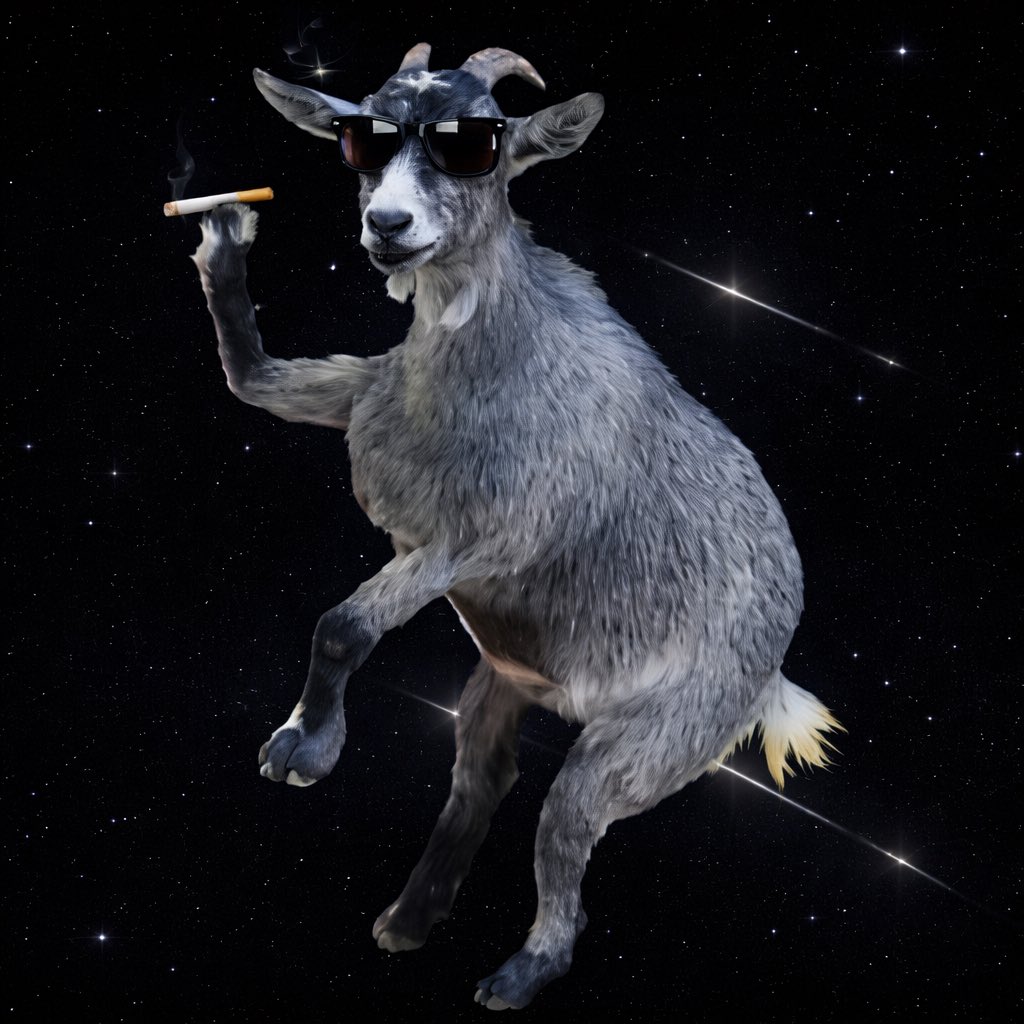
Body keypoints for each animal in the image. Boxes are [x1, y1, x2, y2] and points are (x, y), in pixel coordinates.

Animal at [189, 43, 843, 1010]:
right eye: (359, 138)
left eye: (480, 145)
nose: (388, 224)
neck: (482, 365)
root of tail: (771, 672)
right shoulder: (365, 415)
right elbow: (250, 379)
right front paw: (226, 233)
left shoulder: (481, 537)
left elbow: (344, 624)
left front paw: (301, 750)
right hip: (505, 677)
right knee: (481, 779)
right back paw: (408, 921)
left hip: (658, 733)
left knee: (568, 820)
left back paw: (521, 972)